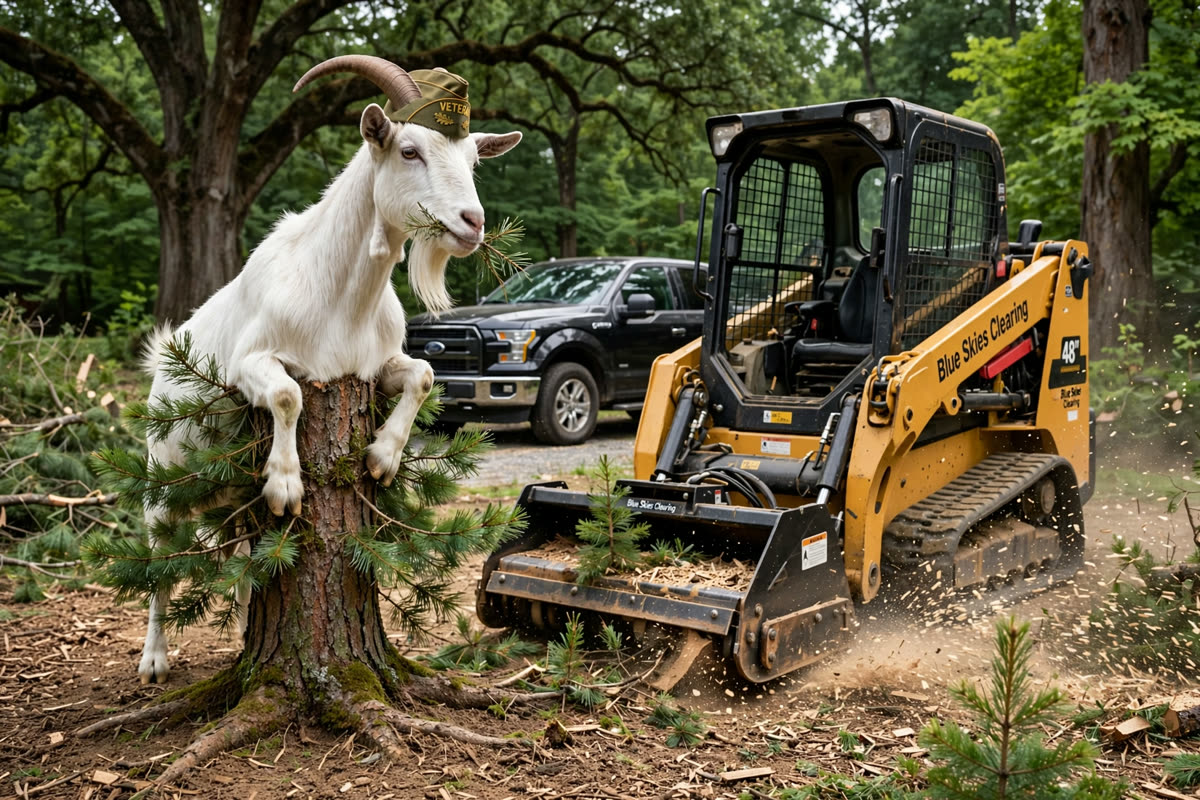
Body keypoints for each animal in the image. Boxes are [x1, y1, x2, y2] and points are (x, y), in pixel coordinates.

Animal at [138, 56, 522, 684]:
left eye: (472, 162)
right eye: (409, 150)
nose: (473, 222)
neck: (340, 295)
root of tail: (162, 362)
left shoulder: (369, 368)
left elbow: (422, 375)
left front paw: (383, 458)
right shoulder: (251, 363)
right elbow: (288, 395)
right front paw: (285, 486)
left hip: (222, 496)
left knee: (238, 554)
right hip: (161, 478)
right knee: (159, 565)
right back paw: (153, 661)